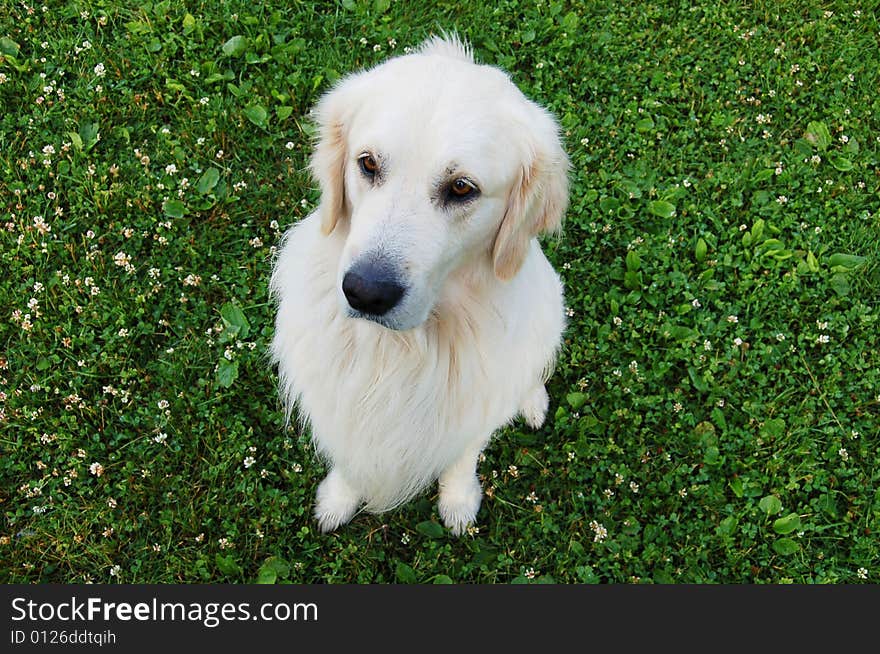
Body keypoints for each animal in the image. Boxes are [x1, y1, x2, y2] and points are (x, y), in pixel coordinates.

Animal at [270, 36, 572, 536]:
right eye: (368, 163)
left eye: (462, 187)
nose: (365, 292)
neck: (403, 350)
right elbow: (350, 456)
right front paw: (338, 499)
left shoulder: (473, 414)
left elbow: (463, 457)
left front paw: (459, 501)